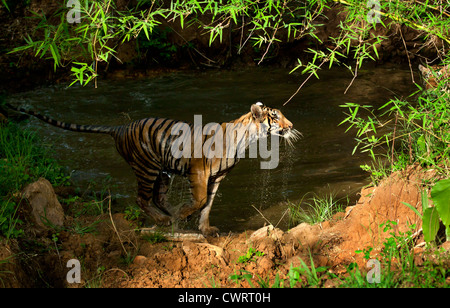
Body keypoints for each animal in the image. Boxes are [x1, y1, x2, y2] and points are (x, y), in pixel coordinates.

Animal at [5, 102, 300, 235]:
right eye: (275, 117)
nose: (291, 126)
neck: (246, 140)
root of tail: (119, 127)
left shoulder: (217, 178)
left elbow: (207, 205)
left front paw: (204, 228)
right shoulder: (199, 172)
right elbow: (200, 200)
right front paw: (186, 214)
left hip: (163, 172)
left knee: (157, 197)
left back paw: (171, 216)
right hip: (146, 168)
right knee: (142, 199)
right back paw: (165, 219)